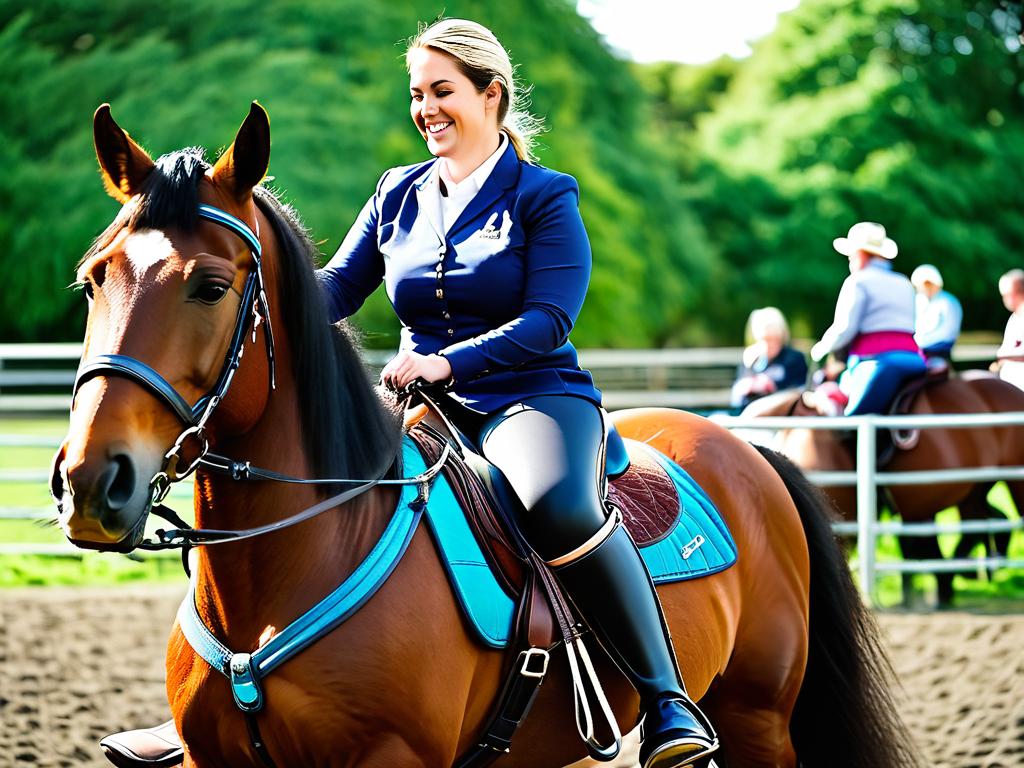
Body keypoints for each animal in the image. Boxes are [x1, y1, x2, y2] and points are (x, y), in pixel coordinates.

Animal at [49, 103, 921, 768]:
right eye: (94, 278)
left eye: (209, 286)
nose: (93, 481)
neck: (297, 560)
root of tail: (746, 448)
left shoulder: (392, 759)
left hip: (757, 719)